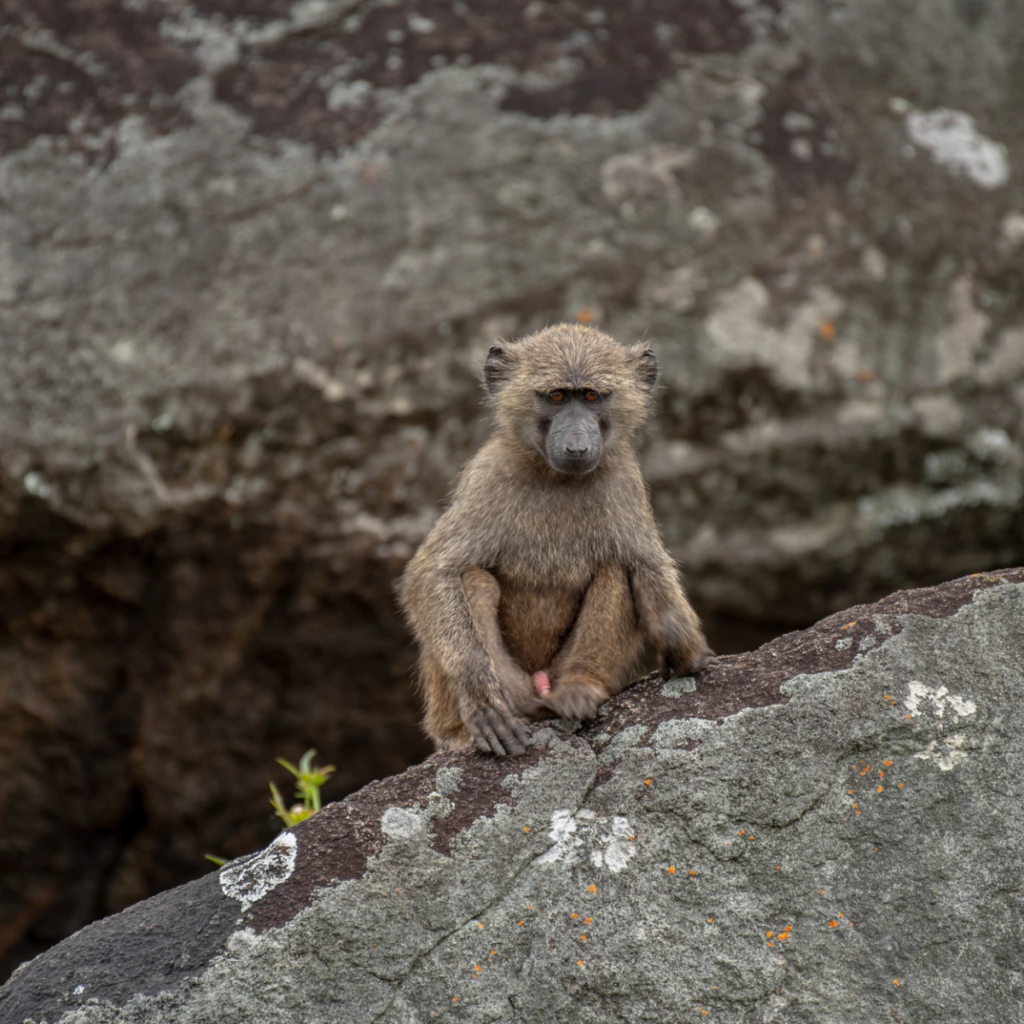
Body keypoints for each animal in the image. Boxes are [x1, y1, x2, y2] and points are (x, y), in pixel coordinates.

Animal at [399, 323, 711, 757]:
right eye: (557, 396)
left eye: (592, 396)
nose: (577, 446)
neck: (556, 476)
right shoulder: (488, 476)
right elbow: (432, 573)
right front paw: (480, 697)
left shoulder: (624, 480)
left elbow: (646, 564)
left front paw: (684, 648)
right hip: (504, 687)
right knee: (473, 580)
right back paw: (468, 726)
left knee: (616, 568)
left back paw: (580, 688)